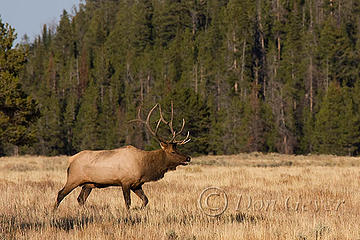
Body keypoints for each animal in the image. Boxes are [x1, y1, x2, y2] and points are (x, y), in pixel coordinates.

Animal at [53, 102, 191, 210]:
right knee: (60, 194)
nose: (188, 158)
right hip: (74, 178)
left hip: (88, 184)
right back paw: (53, 212)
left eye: (177, 148)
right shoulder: (125, 182)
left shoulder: (137, 184)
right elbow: (128, 203)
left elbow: (145, 200)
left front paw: (139, 209)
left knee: (81, 199)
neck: (144, 166)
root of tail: (71, 160)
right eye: (173, 152)